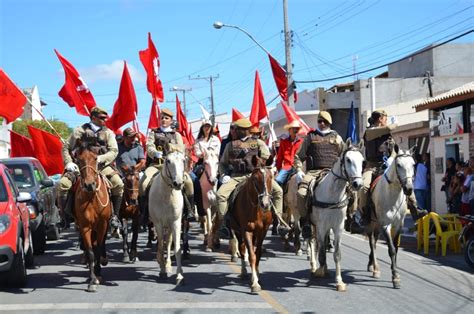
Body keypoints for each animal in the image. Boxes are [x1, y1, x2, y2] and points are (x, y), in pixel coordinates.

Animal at [149, 149, 186, 284]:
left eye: (183, 160)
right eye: (168, 161)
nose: (178, 183)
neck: (166, 195)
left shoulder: (175, 222)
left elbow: (177, 248)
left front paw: (179, 275)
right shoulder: (158, 223)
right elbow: (160, 246)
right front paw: (162, 270)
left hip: (169, 226)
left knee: (169, 242)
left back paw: (168, 264)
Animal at [230, 156, 274, 294]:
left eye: (271, 176)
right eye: (255, 178)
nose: (265, 204)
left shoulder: (263, 231)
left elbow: (258, 254)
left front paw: (257, 277)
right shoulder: (246, 231)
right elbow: (252, 256)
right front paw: (255, 283)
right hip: (238, 231)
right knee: (242, 249)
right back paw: (244, 272)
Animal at [310, 140, 364, 292]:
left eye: (362, 161)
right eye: (348, 159)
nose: (358, 184)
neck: (332, 195)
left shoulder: (338, 226)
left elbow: (337, 254)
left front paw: (339, 281)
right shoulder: (321, 226)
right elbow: (322, 251)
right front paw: (320, 271)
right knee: (311, 241)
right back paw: (313, 265)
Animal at [366, 145, 414, 290]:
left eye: (413, 164)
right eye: (399, 165)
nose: (409, 189)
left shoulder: (399, 225)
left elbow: (396, 249)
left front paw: (395, 273)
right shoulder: (385, 225)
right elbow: (391, 249)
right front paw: (395, 277)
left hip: (377, 224)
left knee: (375, 241)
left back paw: (372, 265)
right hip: (372, 222)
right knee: (372, 242)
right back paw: (375, 268)